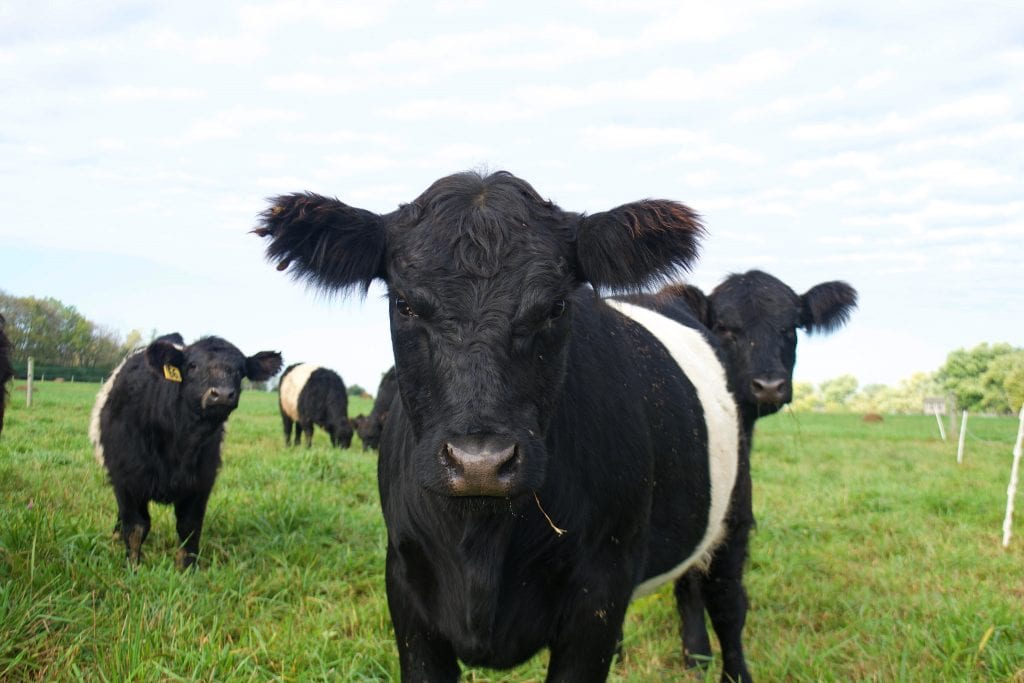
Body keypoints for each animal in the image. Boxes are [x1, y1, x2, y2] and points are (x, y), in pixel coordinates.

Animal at [86, 333, 280, 569]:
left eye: (240, 370)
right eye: (193, 366)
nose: (222, 394)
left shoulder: (201, 483)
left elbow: (189, 527)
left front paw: (188, 569)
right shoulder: (127, 479)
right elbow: (136, 527)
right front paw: (132, 567)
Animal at [256, 172, 753, 683]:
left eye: (556, 306)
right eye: (404, 304)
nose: (480, 463)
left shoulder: (599, 595)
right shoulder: (405, 589)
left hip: (734, 511)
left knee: (727, 603)